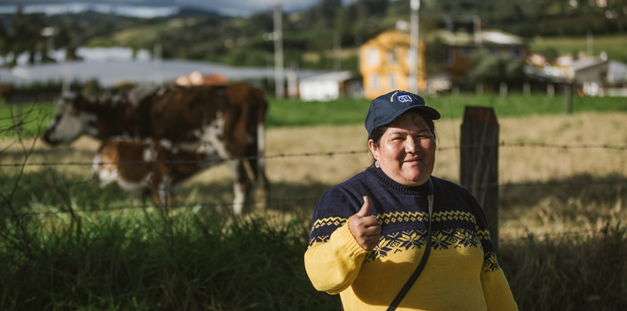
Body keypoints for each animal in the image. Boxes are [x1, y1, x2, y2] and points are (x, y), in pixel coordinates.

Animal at [43, 83, 270, 214]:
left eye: (59, 116)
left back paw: (236, 218)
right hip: (253, 147)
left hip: (230, 148)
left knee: (243, 183)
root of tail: (254, 92)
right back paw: (259, 213)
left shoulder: (144, 147)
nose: (45, 136)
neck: (123, 111)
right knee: (262, 181)